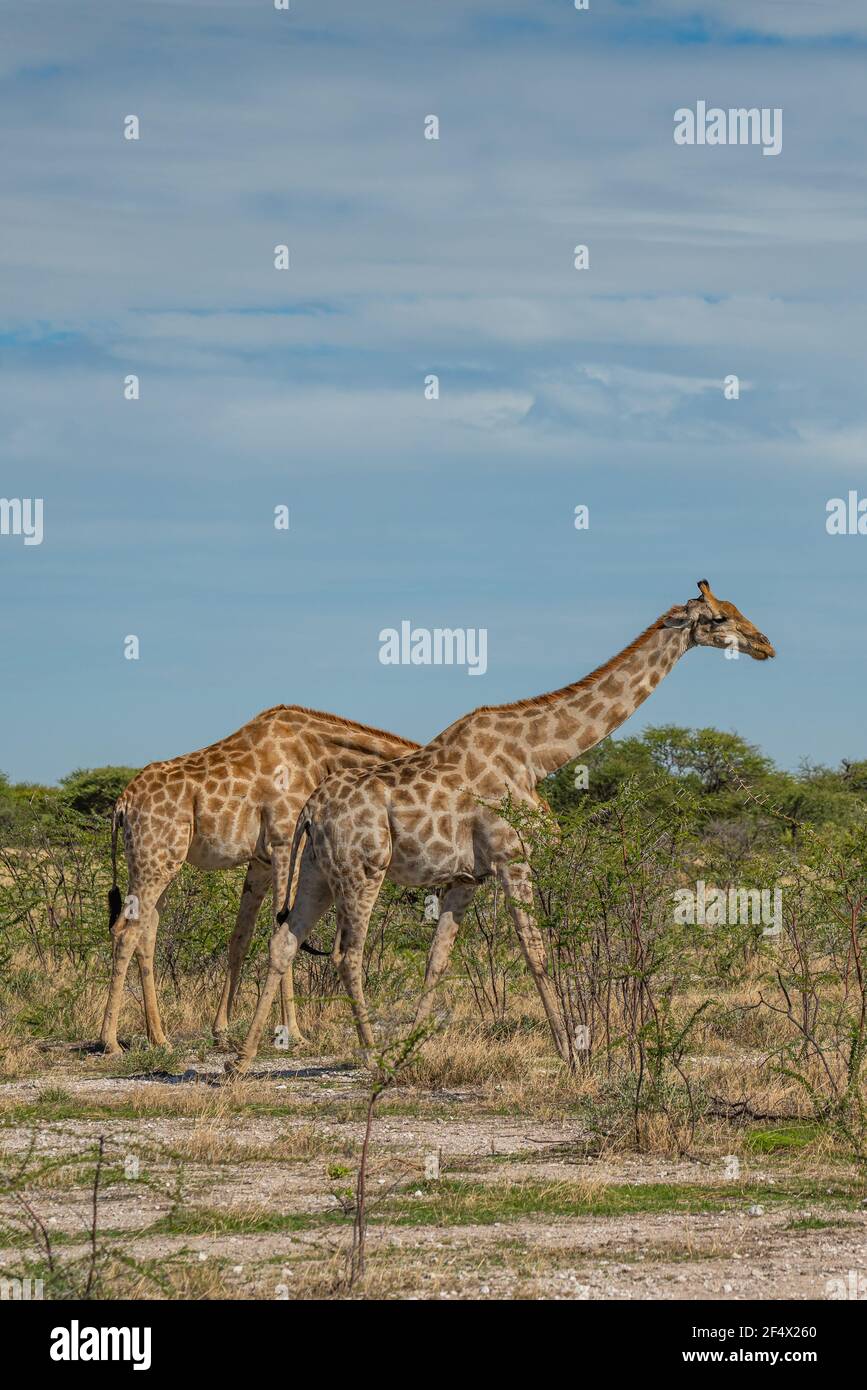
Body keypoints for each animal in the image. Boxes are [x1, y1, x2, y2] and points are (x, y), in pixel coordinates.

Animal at [100, 706, 419, 1050]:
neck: (321, 756)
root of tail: (122, 804)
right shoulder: (284, 841)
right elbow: (283, 930)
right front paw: (294, 1033)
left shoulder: (260, 861)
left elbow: (241, 938)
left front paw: (221, 1029)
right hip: (153, 861)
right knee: (126, 932)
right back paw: (110, 1041)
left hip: (161, 863)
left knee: (146, 934)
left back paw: (159, 1038)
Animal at [226, 583, 778, 1073]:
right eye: (719, 618)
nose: (765, 645)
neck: (537, 756)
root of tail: (310, 811)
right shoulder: (513, 857)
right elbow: (536, 952)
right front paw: (569, 1054)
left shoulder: (467, 878)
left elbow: (437, 961)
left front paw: (412, 1049)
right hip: (362, 870)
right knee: (347, 954)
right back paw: (369, 1056)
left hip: (318, 871)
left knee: (284, 942)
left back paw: (243, 1060)